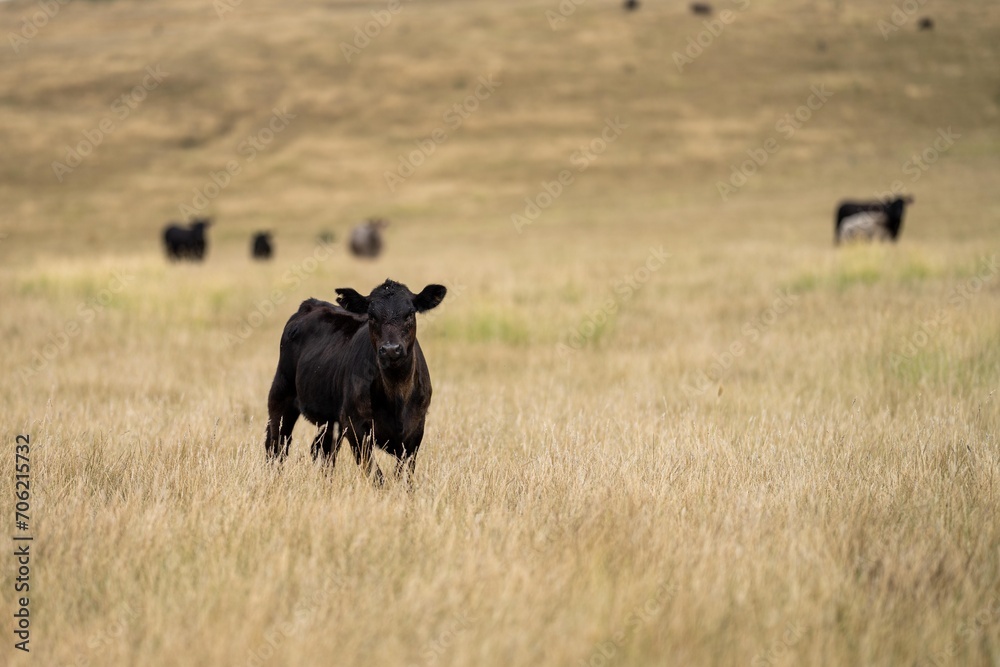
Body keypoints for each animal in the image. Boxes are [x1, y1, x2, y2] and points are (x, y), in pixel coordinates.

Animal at [264, 279, 447, 485]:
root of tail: (311, 303)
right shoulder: (356, 425)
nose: (391, 349)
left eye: (409, 314)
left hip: (330, 419)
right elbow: (376, 475)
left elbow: (404, 475)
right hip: (281, 393)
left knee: (322, 450)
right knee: (277, 444)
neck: (396, 396)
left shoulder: (416, 428)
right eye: (371, 316)